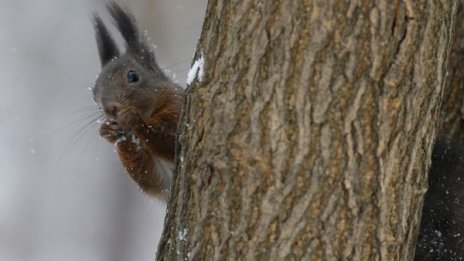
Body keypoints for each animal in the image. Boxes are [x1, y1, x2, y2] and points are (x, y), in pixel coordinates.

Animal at [91, 1, 184, 197]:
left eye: (132, 76)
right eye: (94, 95)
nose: (110, 109)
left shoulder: (177, 104)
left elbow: (173, 137)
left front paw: (133, 118)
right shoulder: (159, 181)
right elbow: (148, 177)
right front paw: (108, 130)